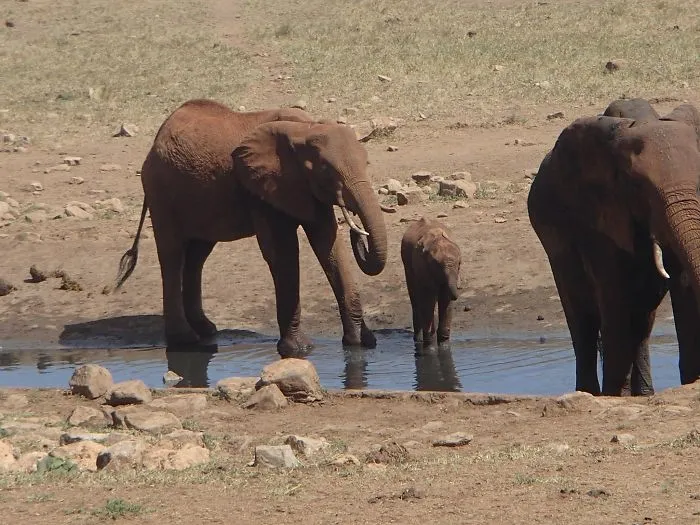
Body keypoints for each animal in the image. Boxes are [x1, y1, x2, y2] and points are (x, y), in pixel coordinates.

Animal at [112, 98, 392, 354]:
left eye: (366, 163)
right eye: (326, 170)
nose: (359, 234)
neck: (304, 128)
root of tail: (155, 142)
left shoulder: (304, 188)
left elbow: (330, 247)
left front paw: (361, 344)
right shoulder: (261, 188)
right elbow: (282, 253)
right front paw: (298, 350)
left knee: (197, 256)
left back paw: (207, 330)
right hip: (160, 191)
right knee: (172, 254)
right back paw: (185, 341)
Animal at [528, 104, 700, 396]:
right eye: (639, 186)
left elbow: (683, 289)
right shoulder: (599, 215)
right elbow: (614, 295)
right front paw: (614, 396)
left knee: (642, 321)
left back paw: (643, 394)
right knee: (583, 321)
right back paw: (592, 393)